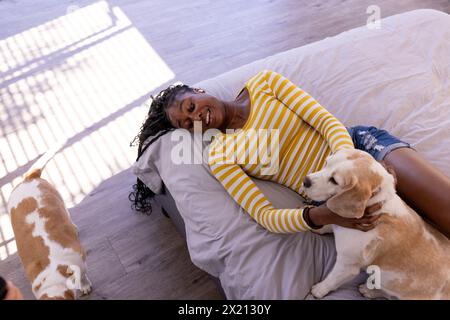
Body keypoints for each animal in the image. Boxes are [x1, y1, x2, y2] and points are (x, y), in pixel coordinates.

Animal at [7, 145, 91, 300]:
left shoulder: (80, 261)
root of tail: (29, 178)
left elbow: (82, 276)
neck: (54, 278)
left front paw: (84, 285)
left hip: (60, 200)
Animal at [304, 149, 448, 298]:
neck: (376, 202)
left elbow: (331, 280)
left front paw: (319, 290)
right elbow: (329, 225)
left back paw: (369, 291)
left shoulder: (347, 265)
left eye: (334, 181)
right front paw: (320, 227)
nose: (305, 181)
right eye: (327, 162)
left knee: (387, 294)